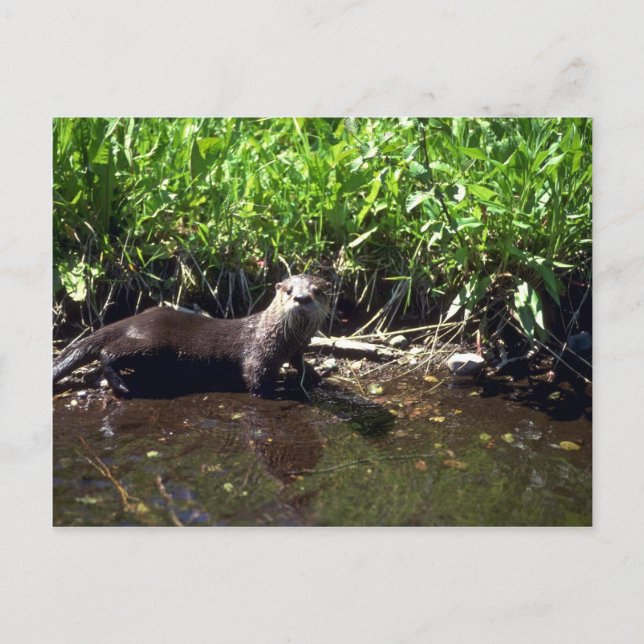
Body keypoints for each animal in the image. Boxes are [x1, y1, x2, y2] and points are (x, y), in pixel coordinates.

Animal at [53, 274, 331, 398]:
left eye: (317, 290)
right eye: (288, 290)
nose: (302, 298)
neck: (276, 338)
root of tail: (133, 319)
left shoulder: (296, 349)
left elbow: (301, 363)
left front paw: (314, 376)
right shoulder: (258, 356)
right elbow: (255, 380)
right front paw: (277, 392)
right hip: (151, 344)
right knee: (107, 351)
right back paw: (120, 386)